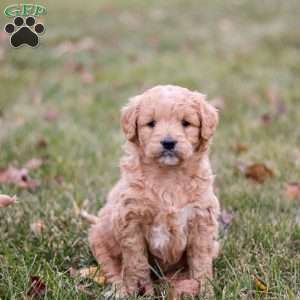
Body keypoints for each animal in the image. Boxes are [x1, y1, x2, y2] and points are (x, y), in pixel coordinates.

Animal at [88, 85, 219, 296]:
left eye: (186, 123)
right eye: (151, 123)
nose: (168, 142)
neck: (168, 176)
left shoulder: (202, 220)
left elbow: (201, 262)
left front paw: (206, 291)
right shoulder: (131, 220)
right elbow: (136, 263)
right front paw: (141, 292)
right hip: (99, 238)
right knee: (112, 269)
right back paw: (120, 291)